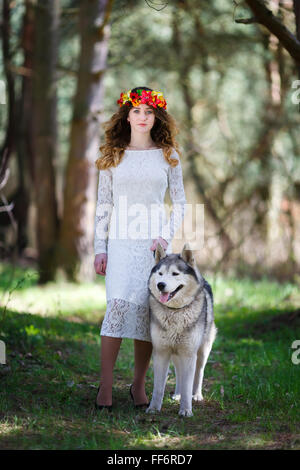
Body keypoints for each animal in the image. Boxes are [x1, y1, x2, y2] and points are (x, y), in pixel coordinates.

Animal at [146, 244, 217, 416]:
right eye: (160, 273)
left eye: (175, 274)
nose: (160, 285)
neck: (174, 313)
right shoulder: (161, 352)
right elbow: (158, 387)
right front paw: (153, 408)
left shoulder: (189, 353)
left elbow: (188, 385)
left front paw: (186, 410)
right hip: (176, 353)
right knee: (179, 373)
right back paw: (177, 394)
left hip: (202, 351)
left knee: (199, 373)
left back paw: (197, 395)